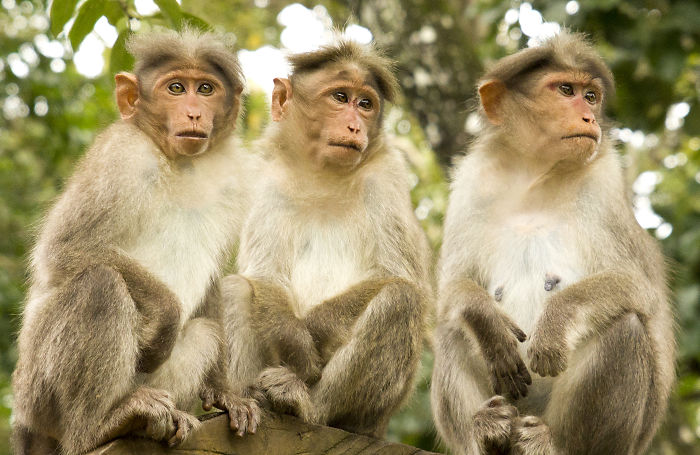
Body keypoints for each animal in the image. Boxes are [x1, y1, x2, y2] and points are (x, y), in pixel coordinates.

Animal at [11, 28, 260, 455]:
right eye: (175, 88)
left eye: (205, 89)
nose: (194, 113)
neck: (179, 162)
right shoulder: (122, 158)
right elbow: (64, 250)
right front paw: (165, 319)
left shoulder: (234, 179)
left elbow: (212, 282)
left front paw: (226, 393)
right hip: (37, 393)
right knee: (100, 284)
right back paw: (97, 426)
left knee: (207, 331)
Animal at [222, 40, 432, 438]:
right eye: (340, 97)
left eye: (365, 104)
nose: (355, 125)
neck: (322, 176)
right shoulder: (266, 179)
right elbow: (265, 275)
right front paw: (298, 344)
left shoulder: (386, 176)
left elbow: (397, 275)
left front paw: (313, 334)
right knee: (237, 288)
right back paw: (242, 400)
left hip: (375, 413)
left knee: (400, 299)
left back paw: (305, 404)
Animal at [430, 31, 675, 455]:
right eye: (565, 90)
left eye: (590, 96)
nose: (589, 117)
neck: (535, 175)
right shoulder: (471, 183)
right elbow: (452, 289)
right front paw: (487, 323)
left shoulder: (604, 184)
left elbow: (637, 287)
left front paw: (555, 323)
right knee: (452, 326)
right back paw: (487, 433)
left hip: (620, 437)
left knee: (624, 325)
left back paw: (551, 442)